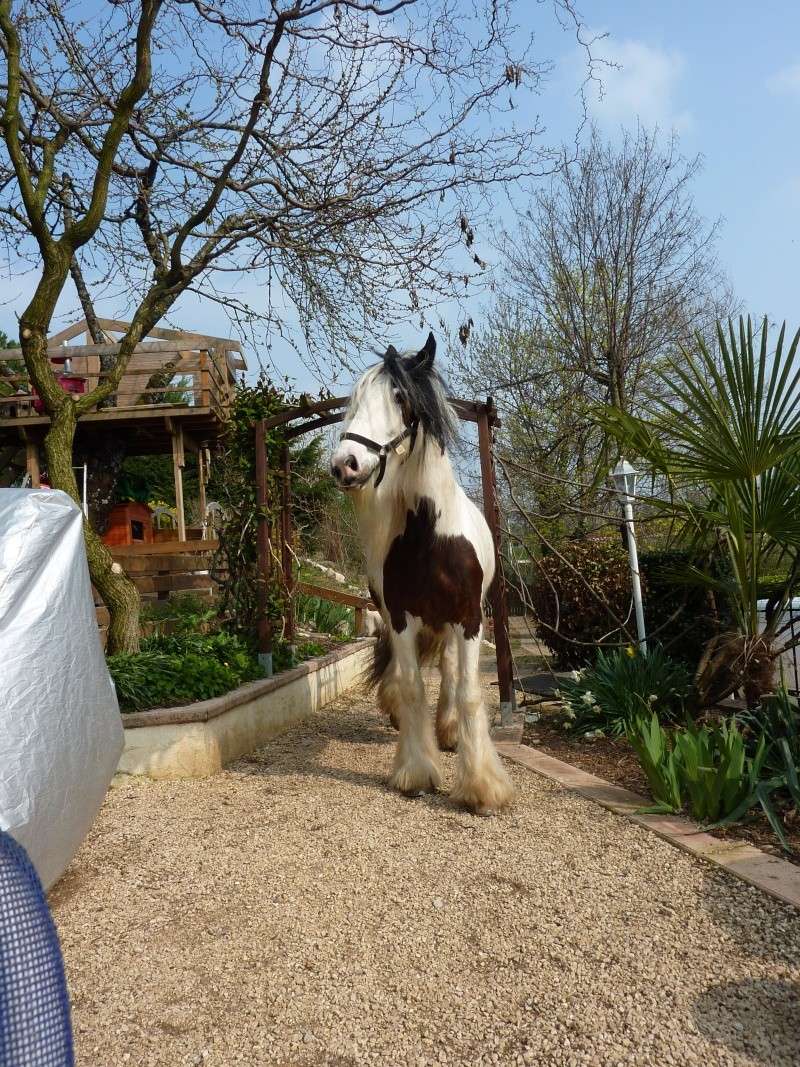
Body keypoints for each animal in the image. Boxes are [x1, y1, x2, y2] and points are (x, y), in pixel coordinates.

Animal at [330, 328, 514, 810]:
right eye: (356, 399)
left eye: (399, 396)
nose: (344, 464)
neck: (432, 537)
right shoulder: (400, 617)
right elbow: (412, 687)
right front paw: (415, 771)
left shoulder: (470, 620)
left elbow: (468, 691)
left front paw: (481, 786)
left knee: (450, 671)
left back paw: (448, 732)